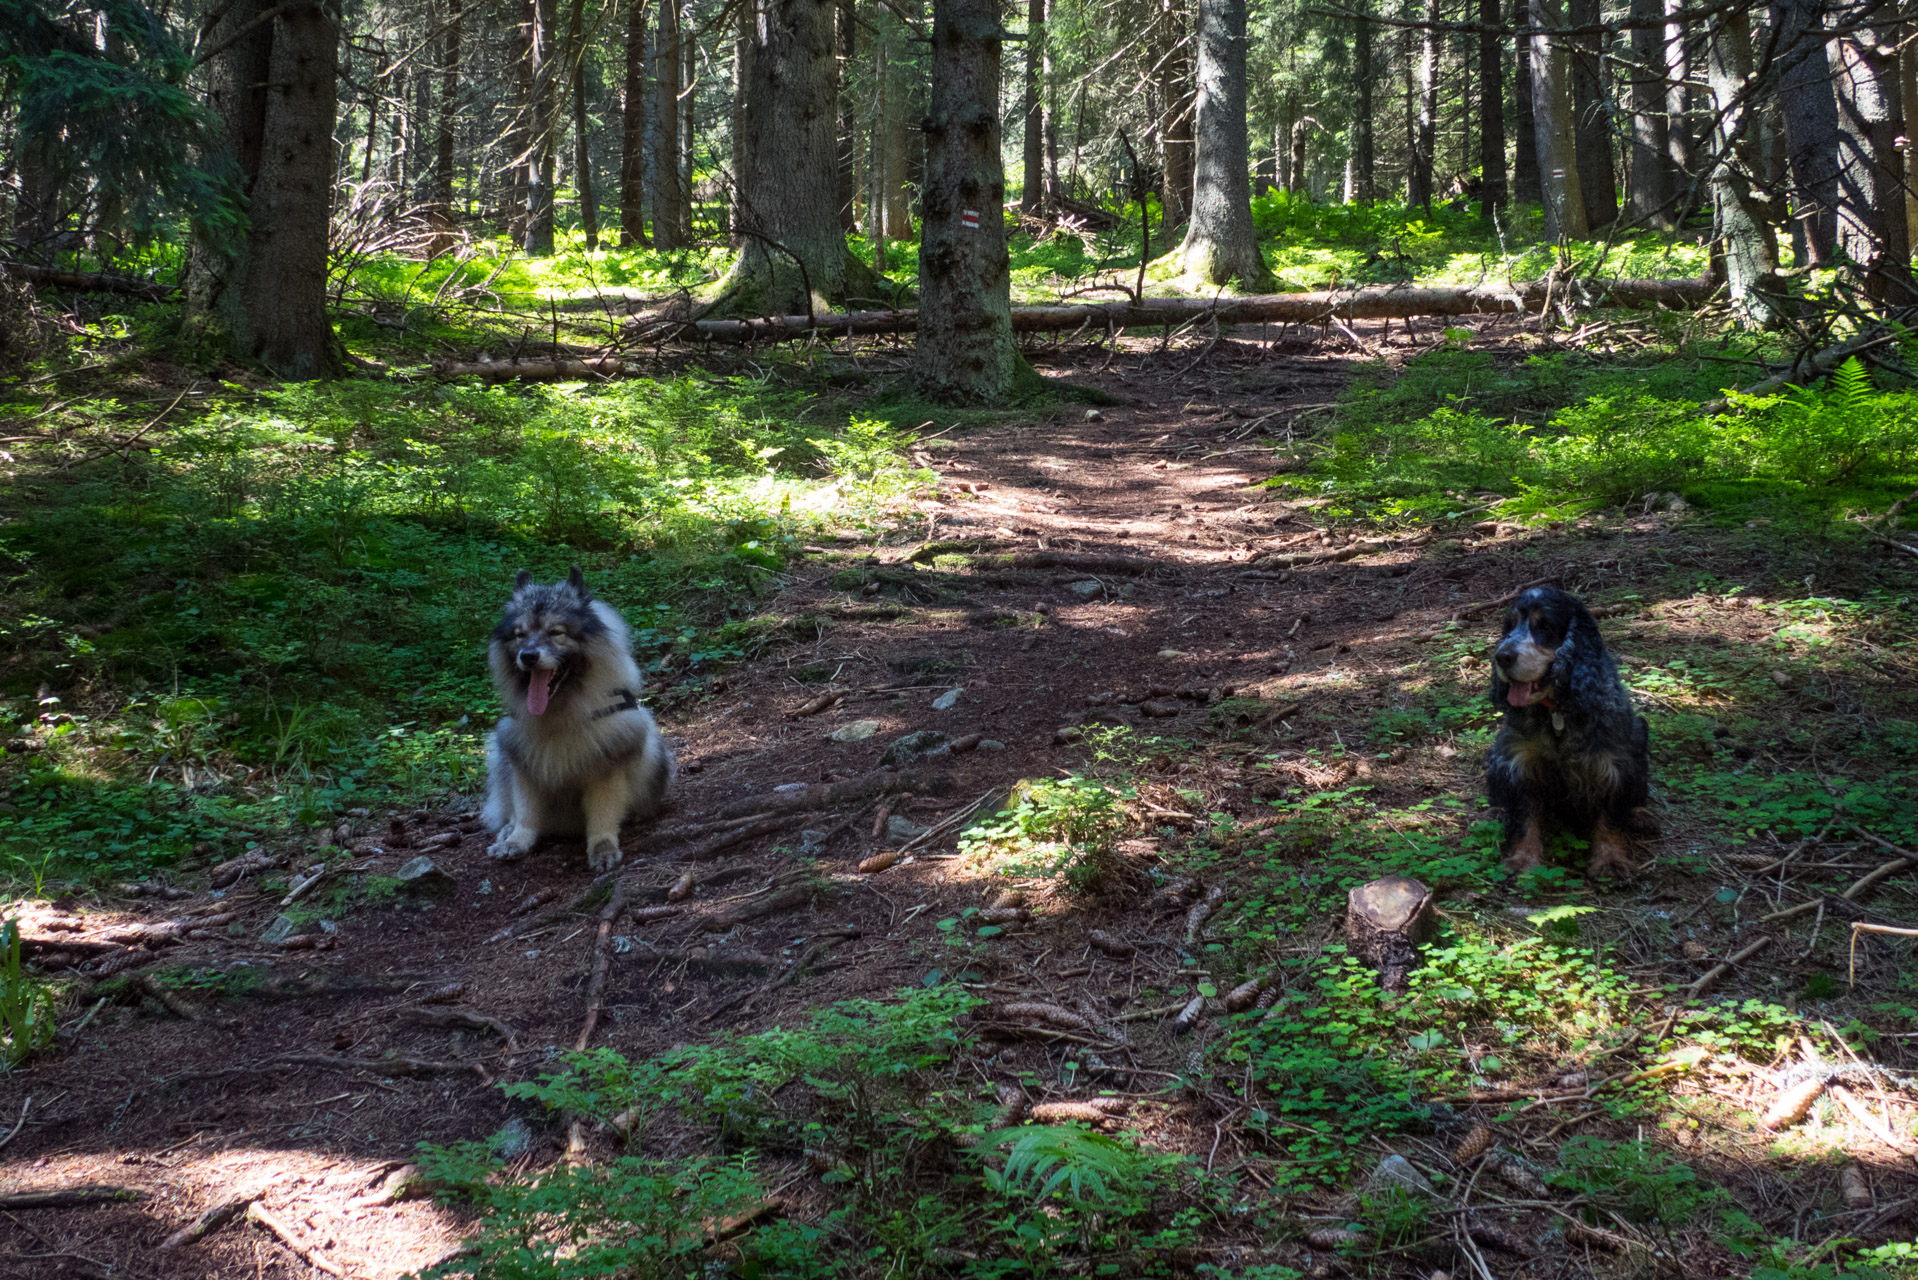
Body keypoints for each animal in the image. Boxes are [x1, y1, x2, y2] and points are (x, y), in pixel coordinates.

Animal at [479, 568, 675, 871]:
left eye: (556, 632)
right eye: (520, 635)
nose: (528, 656)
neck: (561, 712)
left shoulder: (606, 765)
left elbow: (603, 816)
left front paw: (603, 848)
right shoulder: (522, 758)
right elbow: (526, 811)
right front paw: (517, 840)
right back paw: (507, 830)